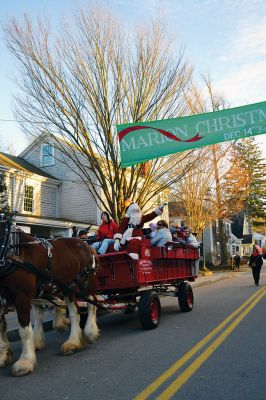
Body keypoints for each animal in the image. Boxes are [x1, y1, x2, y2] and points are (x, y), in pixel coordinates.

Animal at [0, 214, 99, 376]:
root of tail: (87, 245)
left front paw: (25, 361)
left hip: (84, 284)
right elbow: (2, 327)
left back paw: (89, 333)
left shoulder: (22, 296)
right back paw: (72, 342)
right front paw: (3, 356)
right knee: (74, 312)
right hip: (67, 288)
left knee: (91, 304)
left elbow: (24, 330)